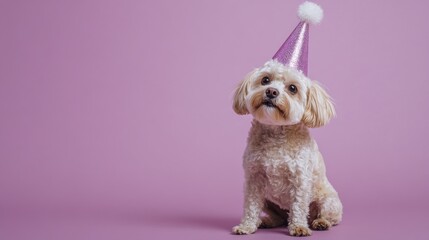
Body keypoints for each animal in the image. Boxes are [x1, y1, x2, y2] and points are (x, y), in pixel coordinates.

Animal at [231, 59, 342, 236]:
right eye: (265, 80)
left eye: (292, 88)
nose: (271, 92)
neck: (276, 133)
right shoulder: (254, 179)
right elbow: (251, 206)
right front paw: (246, 226)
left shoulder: (300, 180)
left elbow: (298, 206)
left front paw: (298, 227)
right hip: (268, 201)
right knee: (280, 219)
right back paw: (266, 221)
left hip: (328, 201)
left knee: (327, 216)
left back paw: (320, 223)